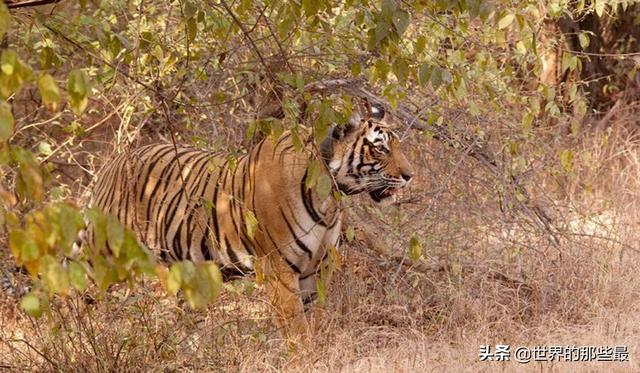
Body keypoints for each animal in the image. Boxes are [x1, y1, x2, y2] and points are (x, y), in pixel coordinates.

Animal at [86, 101, 416, 338]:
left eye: (398, 146)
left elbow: (316, 321)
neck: (330, 195)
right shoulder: (280, 270)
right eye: (380, 148)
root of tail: (115, 161)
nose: (410, 175)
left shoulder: (318, 268)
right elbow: (298, 333)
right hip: (102, 258)